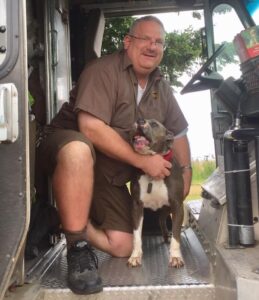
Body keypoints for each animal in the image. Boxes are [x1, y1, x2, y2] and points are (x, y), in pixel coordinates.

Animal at [128, 118, 185, 268]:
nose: (139, 120)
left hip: (167, 207)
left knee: (162, 220)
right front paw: (135, 256)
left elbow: (176, 235)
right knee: (161, 220)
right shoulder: (136, 206)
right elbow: (136, 235)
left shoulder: (177, 206)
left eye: (154, 124)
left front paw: (175, 257)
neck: (152, 176)